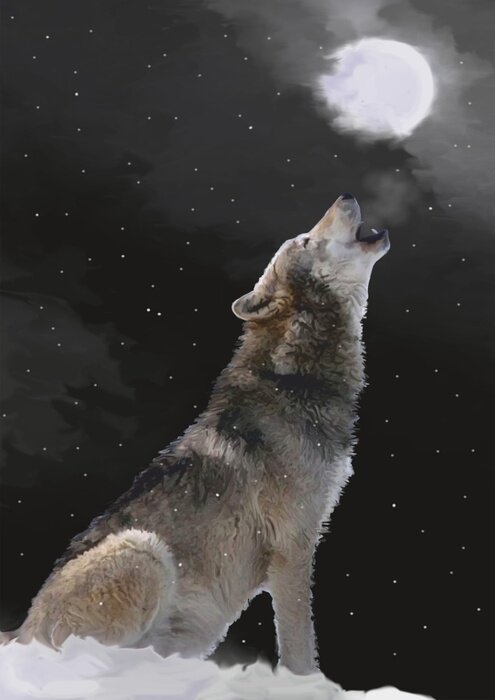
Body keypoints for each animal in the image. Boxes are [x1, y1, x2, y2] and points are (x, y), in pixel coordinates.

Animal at [0, 193, 389, 675]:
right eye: (304, 240)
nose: (345, 196)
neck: (294, 377)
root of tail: (21, 629)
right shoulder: (292, 545)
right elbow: (300, 644)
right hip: (143, 551)